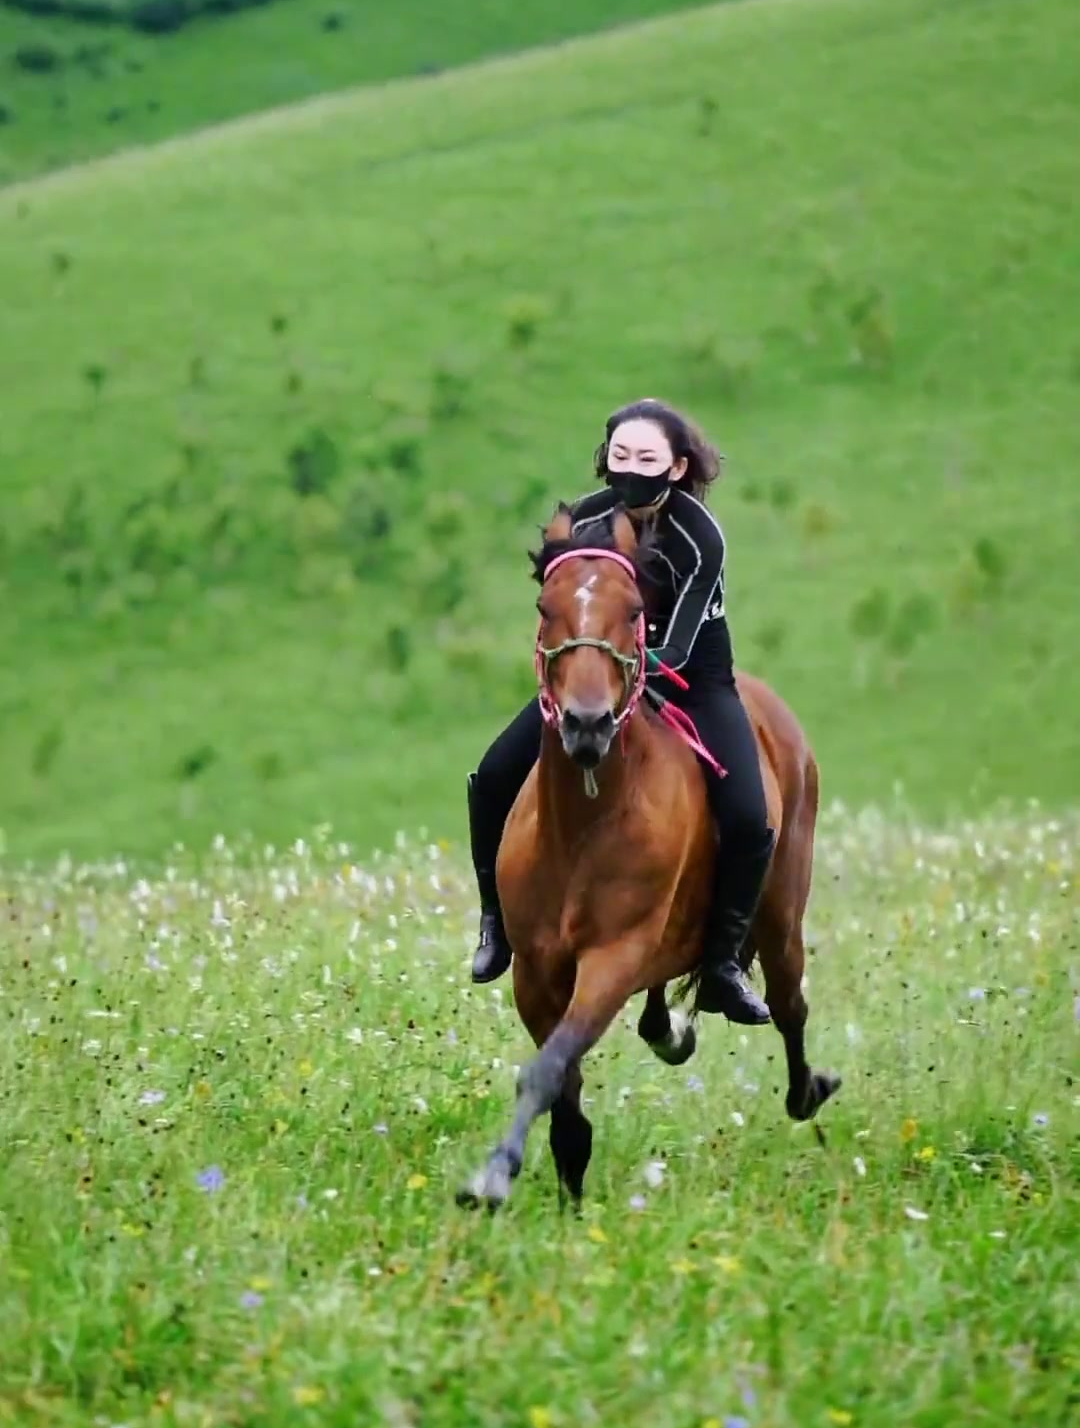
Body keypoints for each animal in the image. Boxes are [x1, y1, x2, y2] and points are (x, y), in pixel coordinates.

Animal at [451, 508, 840, 1210]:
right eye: (545, 606)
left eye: (633, 608)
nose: (587, 724)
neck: (583, 828)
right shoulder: (536, 973)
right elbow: (560, 1082)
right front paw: (564, 1180)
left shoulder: (612, 959)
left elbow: (547, 1069)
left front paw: (493, 1176)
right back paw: (671, 1033)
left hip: (780, 919)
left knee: (788, 1004)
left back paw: (806, 1088)